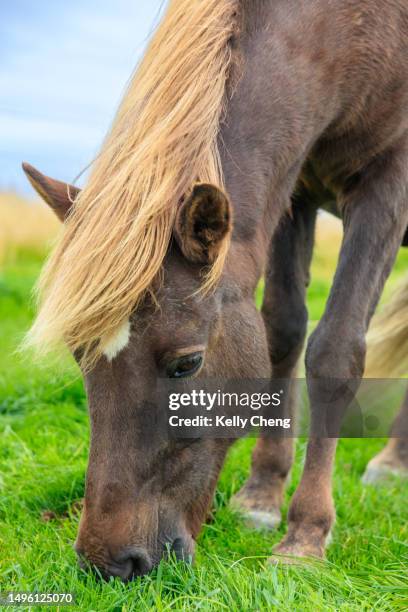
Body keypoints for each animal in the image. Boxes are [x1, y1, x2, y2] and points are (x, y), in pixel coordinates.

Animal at [23, 0, 408, 580]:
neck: (358, 29)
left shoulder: (386, 184)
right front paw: (261, 497)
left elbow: (335, 350)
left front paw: (305, 535)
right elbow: (283, 333)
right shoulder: (293, 193)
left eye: (187, 364)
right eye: (78, 354)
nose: (109, 564)